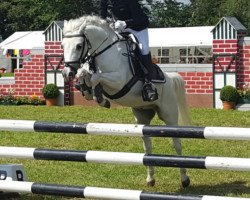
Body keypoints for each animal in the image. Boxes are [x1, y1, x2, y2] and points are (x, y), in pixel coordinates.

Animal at [62, 15, 191, 188]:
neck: (104, 51)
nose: (67, 73)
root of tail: (170, 78)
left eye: (79, 45)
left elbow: (96, 77)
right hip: (142, 116)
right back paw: (150, 179)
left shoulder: (118, 81)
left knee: (177, 144)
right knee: (147, 146)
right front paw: (88, 91)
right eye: (62, 45)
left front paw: (99, 97)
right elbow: (85, 74)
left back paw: (184, 179)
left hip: (169, 114)